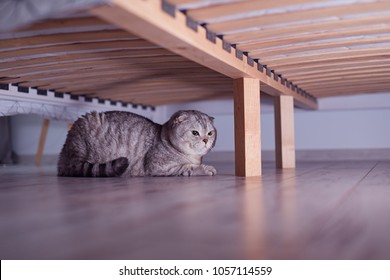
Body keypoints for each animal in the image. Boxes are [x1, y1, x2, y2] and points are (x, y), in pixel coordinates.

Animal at [56, 110, 218, 177]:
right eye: (195, 133)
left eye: (210, 133)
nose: (206, 140)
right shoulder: (158, 166)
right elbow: (188, 167)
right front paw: (205, 169)